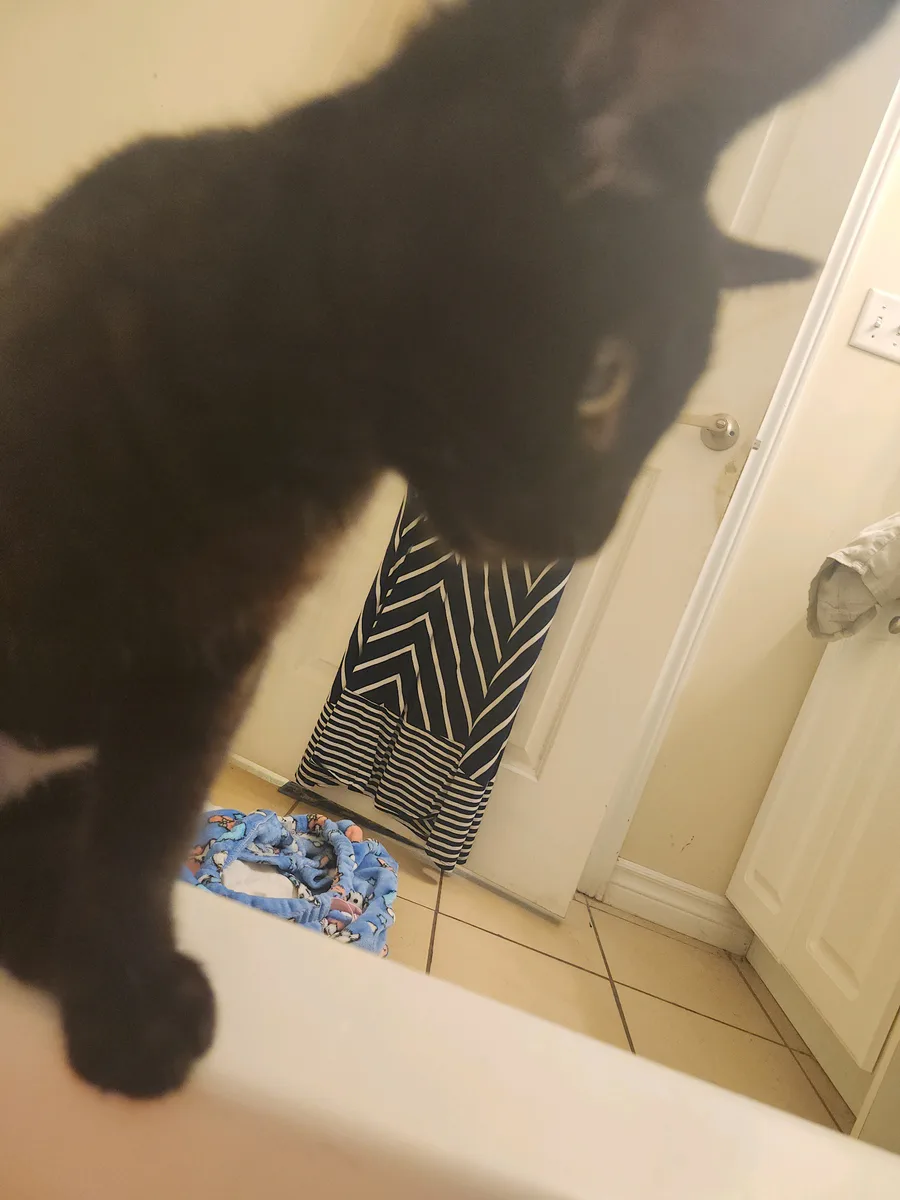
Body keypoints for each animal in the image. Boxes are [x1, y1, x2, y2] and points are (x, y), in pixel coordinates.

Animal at [0, 0, 895, 1098]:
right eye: (603, 378)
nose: (591, 536)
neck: (274, 429)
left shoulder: (212, 662)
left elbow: (142, 827)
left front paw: (120, 987)